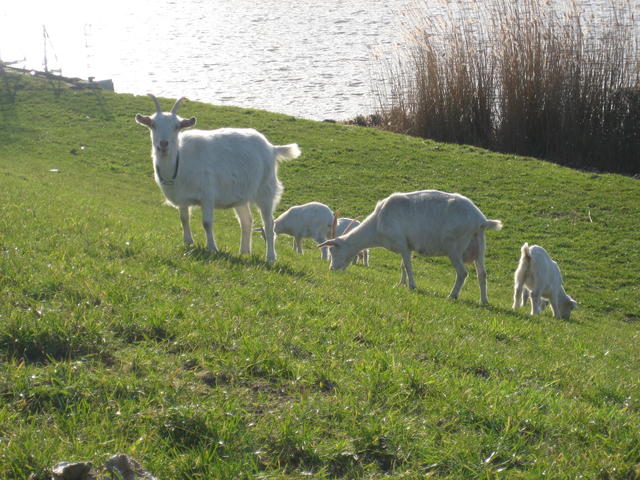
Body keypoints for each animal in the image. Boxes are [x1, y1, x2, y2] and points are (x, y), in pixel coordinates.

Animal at [135, 94, 300, 262]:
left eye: (177, 126)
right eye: (153, 125)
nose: (163, 144)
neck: (180, 160)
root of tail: (272, 148)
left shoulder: (207, 195)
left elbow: (207, 223)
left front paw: (212, 248)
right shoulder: (182, 197)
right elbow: (184, 219)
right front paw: (188, 242)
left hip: (266, 190)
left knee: (269, 224)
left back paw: (271, 258)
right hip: (240, 196)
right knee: (246, 221)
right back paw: (244, 252)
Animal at [318, 190, 502, 304]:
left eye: (333, 250)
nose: (332, 269)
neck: (378, 221)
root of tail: (480, 221)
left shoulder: (401, 241)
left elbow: (407, 265)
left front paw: (412, 286)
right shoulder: (407, 245)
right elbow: (402, 266)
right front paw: (400, 284)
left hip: (454, 247)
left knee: (462, 273)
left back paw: (452, 296)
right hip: (479, 245)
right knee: (482, 274)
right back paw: (484, 301)